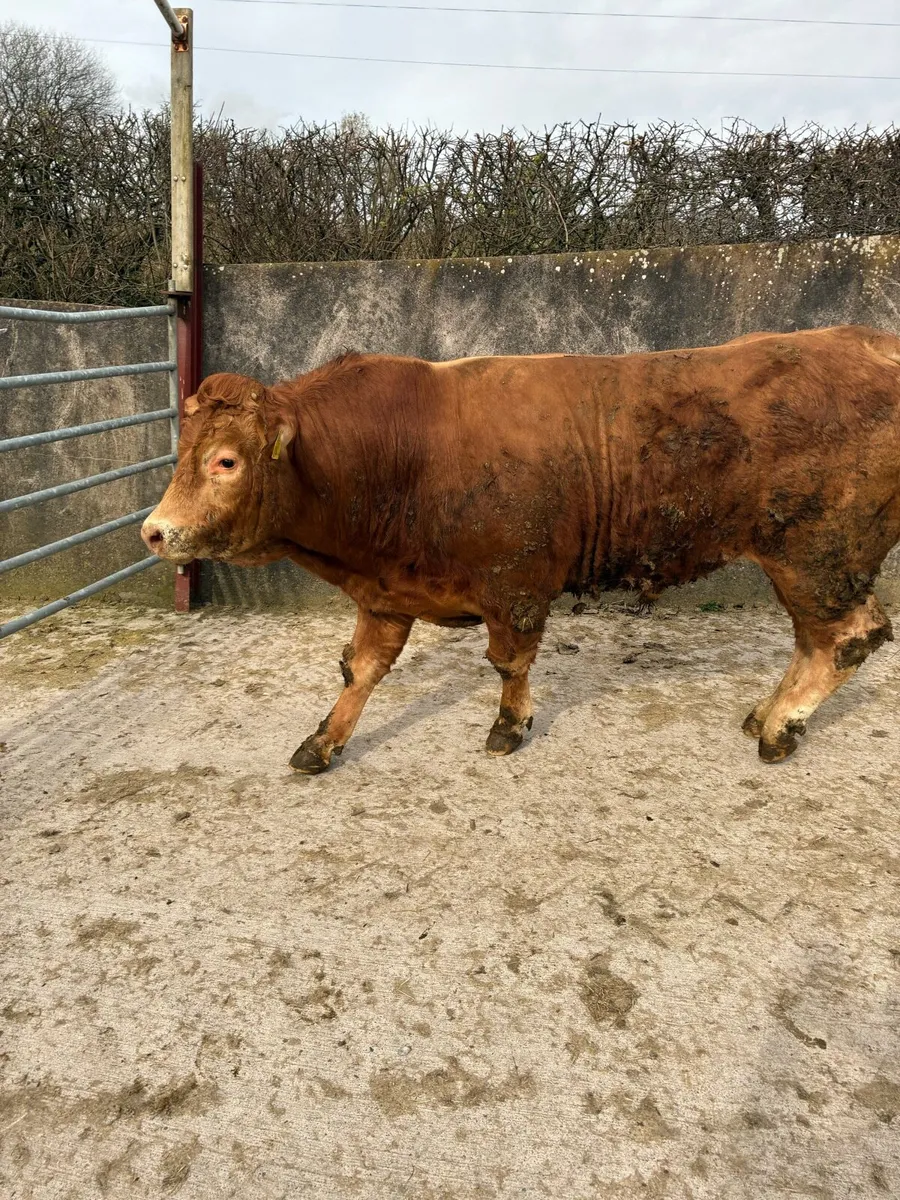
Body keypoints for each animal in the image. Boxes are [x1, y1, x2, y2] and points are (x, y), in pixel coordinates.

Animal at [142, 325, 900, 772]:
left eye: (227, 461)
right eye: (183, 452)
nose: (155, 530)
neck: (400, 453)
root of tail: (867, 340)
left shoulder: (516, 585)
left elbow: (509, 662)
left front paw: (509, 726)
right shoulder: (384, 593)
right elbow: (360, 671)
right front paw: (325, 740)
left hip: (818, 555)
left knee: (845, 638)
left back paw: (779, 728)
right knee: (815, 641)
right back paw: (765, 714)